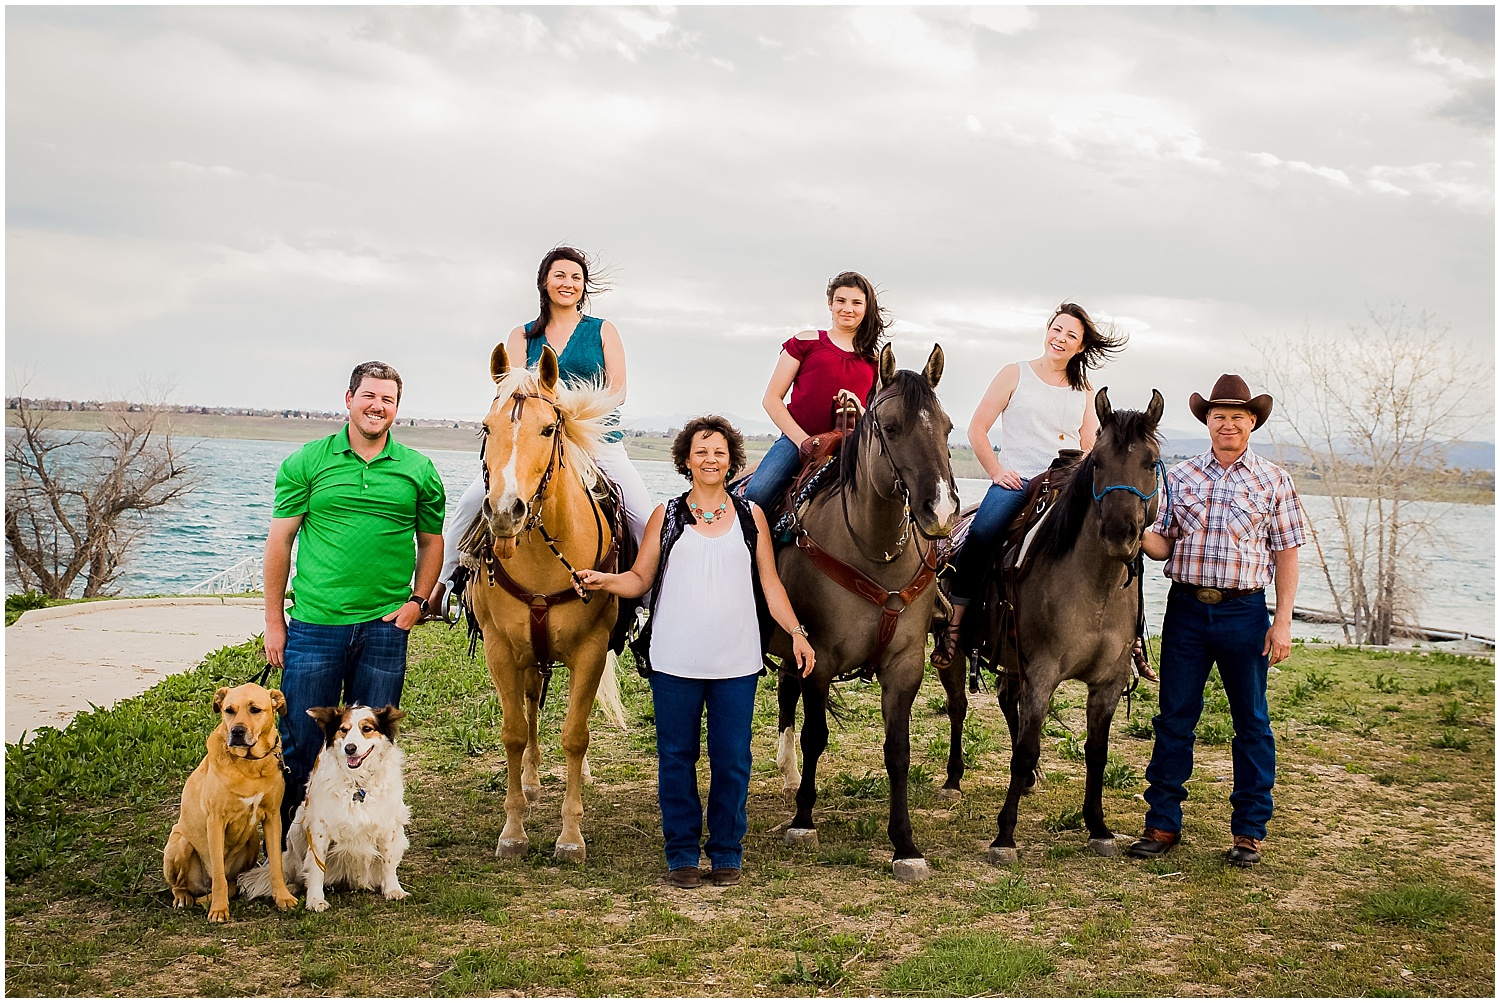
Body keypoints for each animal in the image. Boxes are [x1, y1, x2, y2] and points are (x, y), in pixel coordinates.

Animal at [162, 683, 299, 922]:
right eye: (229, 710)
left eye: (255, 709)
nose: (237, 732)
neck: (250, 764)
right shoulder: (216, 821)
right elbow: (218, 875)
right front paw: (218, 909)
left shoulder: (273, 817)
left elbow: (276, 866)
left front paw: (282, 897)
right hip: (179, 843)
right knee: (181, 885)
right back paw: (183, 898)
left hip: (253, 839)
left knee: (233, 881)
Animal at [241, 703, 410, 912]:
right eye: (343, 730)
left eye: (367, 729)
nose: (350, 748)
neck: (357, 783)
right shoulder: (319, 829)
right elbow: (316, 868)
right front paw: (315, 900)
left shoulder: (388, 825)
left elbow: (388, 860)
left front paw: (393, 889)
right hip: (296, 828)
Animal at [465, 343, 623, 863]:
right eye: (486, 428)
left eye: (549, 429)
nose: (504, 511)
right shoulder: (499, 648)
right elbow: (514, 732)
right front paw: (513, 829)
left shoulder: (592, 650)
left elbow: (576, 734)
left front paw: (571, 836)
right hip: (527, 655)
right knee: (533, 702)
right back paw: (533, 781)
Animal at [770, 344, 961, 881]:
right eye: (891, 427)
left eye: (948, 427)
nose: (941, 512)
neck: (874, 551)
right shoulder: (819, 658)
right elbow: (816, 734)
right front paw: (804, 821)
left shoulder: (904, 666)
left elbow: (898, 752)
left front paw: (905, 845)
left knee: (785, 690)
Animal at [934, 388, 1163, 864]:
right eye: (1097, 462)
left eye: (1151, 462)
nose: (1120, 534)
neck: (1096, 587)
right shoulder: (1042, 672)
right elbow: (1023, 748)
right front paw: (1004, 836)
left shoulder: (1108, 682)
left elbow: (1096, 752)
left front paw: (1098, 827)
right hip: (957, 653)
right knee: (959, 707)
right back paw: (953, 779)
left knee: (1007, 701)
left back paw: (1031, 779)